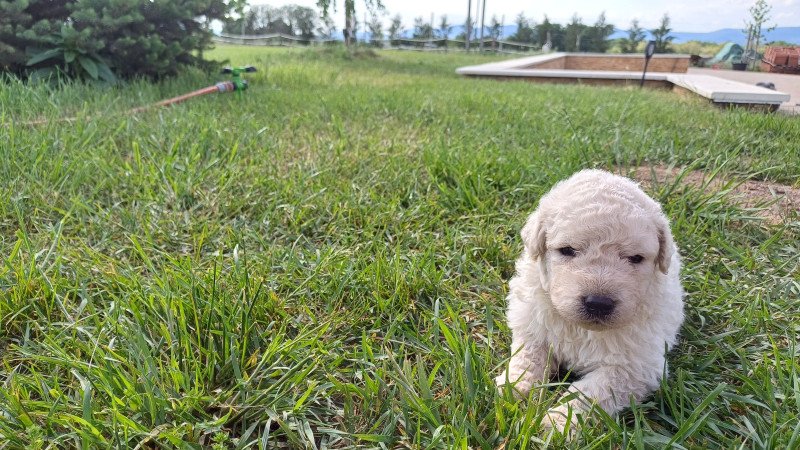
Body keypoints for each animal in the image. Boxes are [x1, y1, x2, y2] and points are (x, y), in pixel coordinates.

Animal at [496, 168, 684, 432]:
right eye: (567, 250)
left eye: (635, 258)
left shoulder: (635, 367)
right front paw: (514, 389)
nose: (598, 303)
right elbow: (528, 357)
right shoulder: (532, 323)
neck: (582, 329)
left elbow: (590, 393)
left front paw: (557, 423)